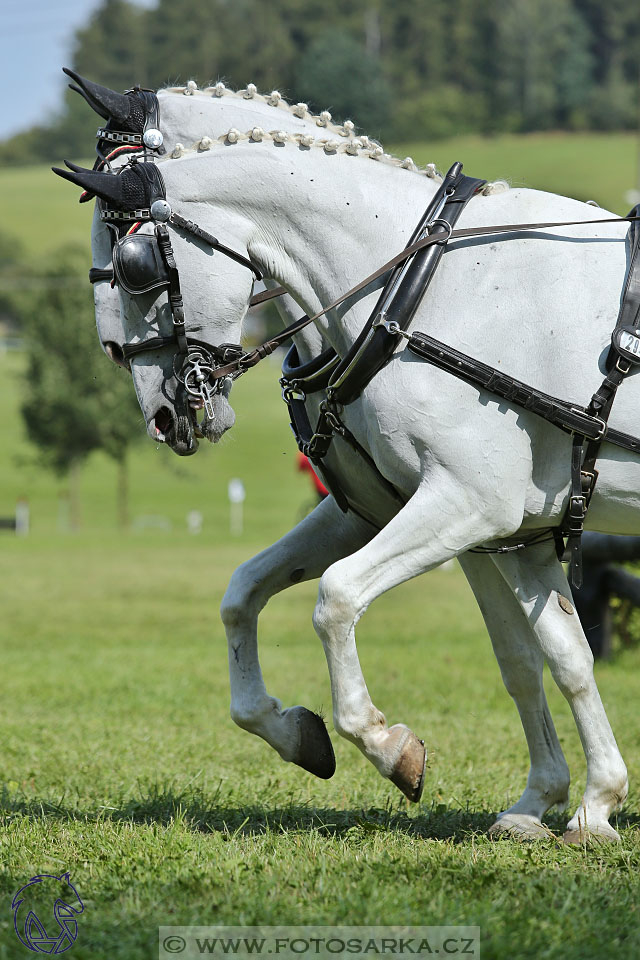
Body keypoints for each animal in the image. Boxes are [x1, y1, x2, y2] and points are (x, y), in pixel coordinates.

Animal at [57, 80, 632, 840]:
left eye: (134, 266)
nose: (160, 414)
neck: (412, 285)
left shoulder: (470, 504)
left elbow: (336, 597)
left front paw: (390, 747)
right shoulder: (483, 526)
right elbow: (545, 657)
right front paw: (574, 801)